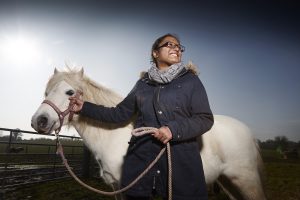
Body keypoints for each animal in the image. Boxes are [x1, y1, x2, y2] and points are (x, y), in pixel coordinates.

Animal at [31, 69, 264, 200]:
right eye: (46, 92)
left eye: (70, 92)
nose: (39, 121)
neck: (115, 136)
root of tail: (248, 132)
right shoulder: (118, 190)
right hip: (228, 181)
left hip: (246, 181)